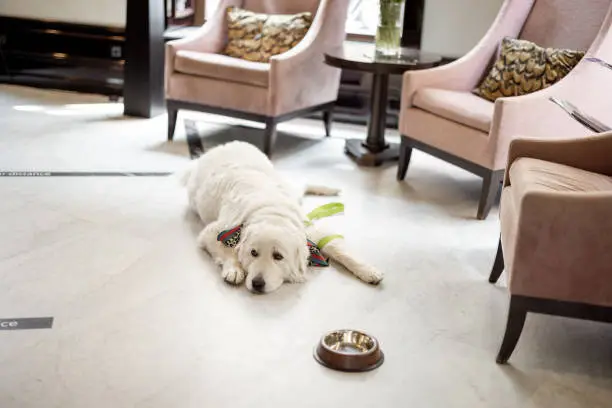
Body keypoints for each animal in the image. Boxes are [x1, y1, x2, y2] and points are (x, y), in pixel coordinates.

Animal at [182, 141, 382, 294]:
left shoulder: (309, 230)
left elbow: (338, 249)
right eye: (253, 253)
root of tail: (221, 147)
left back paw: (329, 189)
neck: (272, 211)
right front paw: (234, 269)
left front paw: (368, 270)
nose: (257, 283)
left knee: (303, 183)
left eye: (278, 256)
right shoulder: (214, 231)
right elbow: (226, 250)